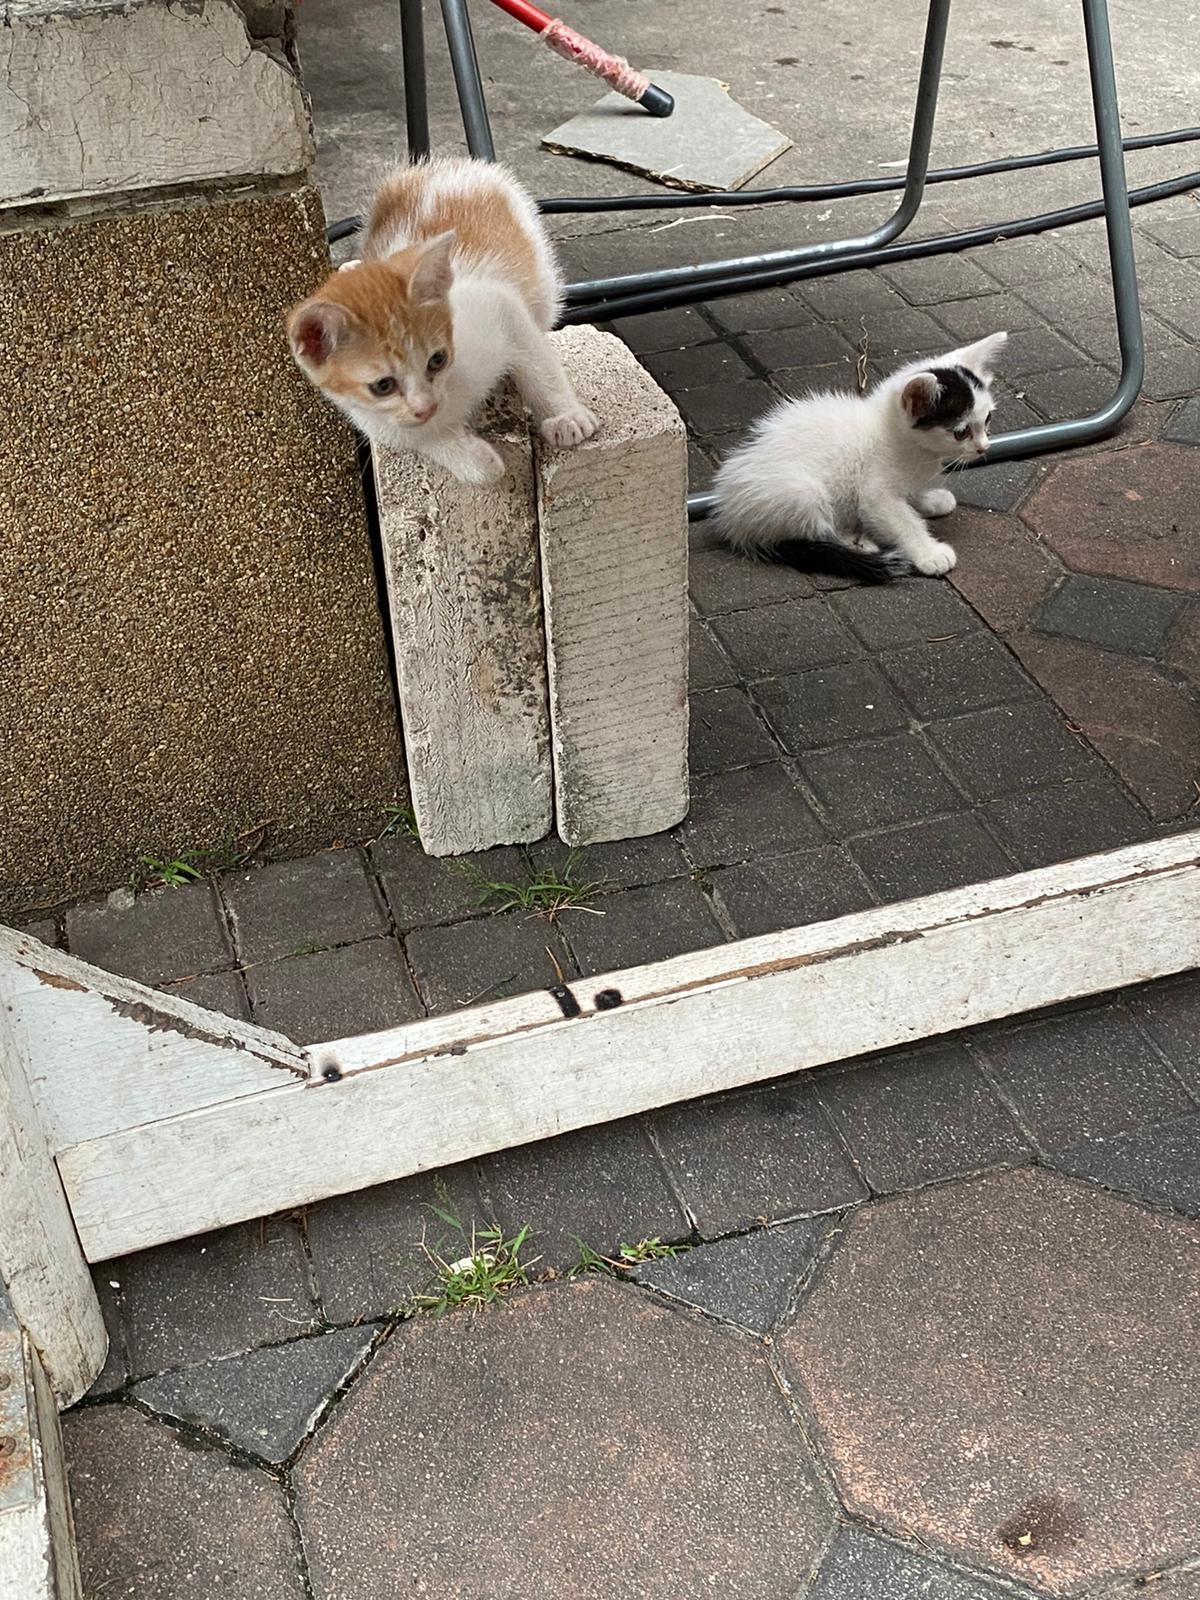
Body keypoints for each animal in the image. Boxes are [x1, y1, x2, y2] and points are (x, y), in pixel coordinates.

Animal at [291, 156, 601, 483]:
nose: (427, 407)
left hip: (540, 272)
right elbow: (432, 441)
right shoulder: (390, 426)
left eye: (437, 360)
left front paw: (565, 417)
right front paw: (480, 462)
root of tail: (441, 166)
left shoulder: (499, 308)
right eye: (383, 385)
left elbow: (538, 363)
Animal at [710, 331, 1011, 582]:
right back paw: (856, 542)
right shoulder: (876, 495)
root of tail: (731, 518)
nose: (984, 448)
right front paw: (929, 553)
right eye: (961, 432)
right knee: (814, 530)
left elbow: (911, 495)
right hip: (804, 493)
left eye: (987, 419)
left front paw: (930, 500)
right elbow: (901, 521)